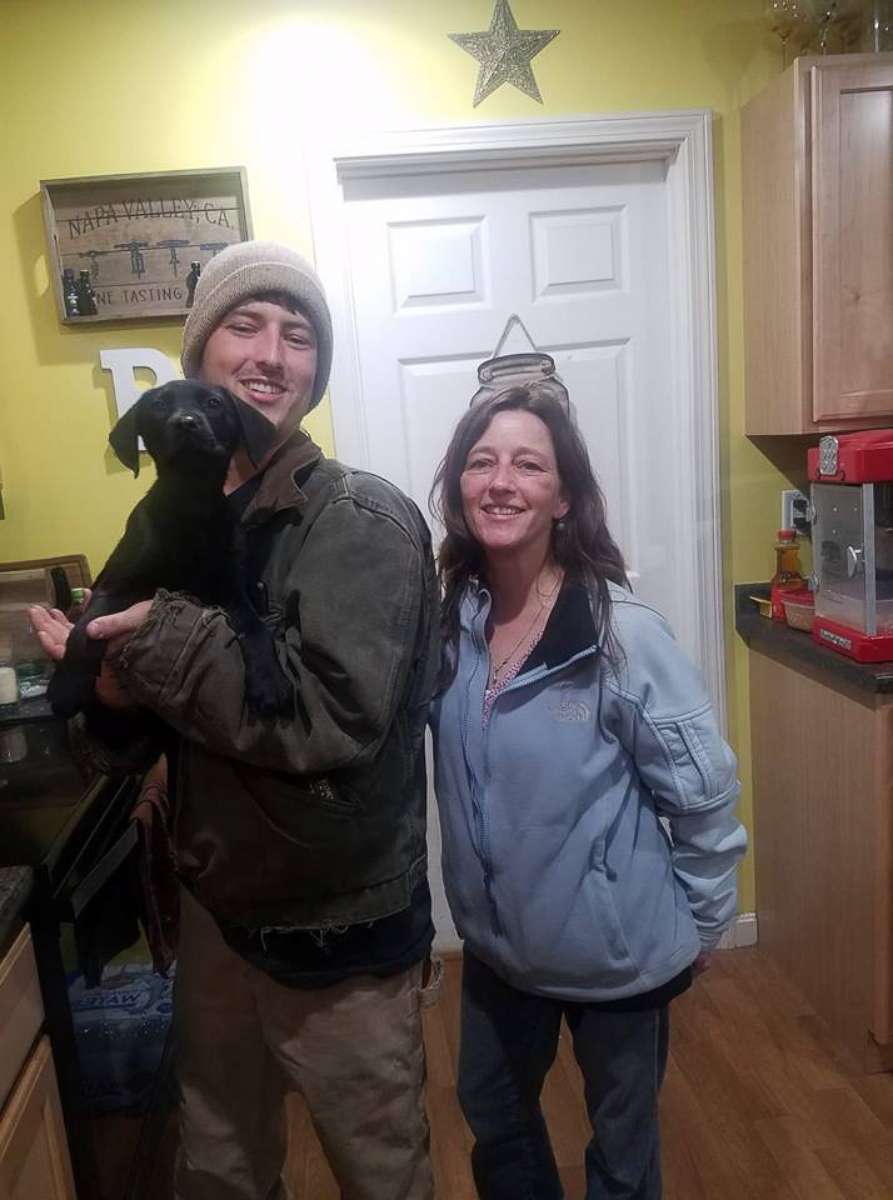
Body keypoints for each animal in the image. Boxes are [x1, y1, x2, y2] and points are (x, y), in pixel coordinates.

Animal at [48, 384, 292, 715]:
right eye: (159, 405)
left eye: (214, 403)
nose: (186, 423)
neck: (190, 502)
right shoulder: (114, 586)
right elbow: (86, 627)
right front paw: (67, 685)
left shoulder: (230, 591)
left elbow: (255, 627)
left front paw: (269, 679)